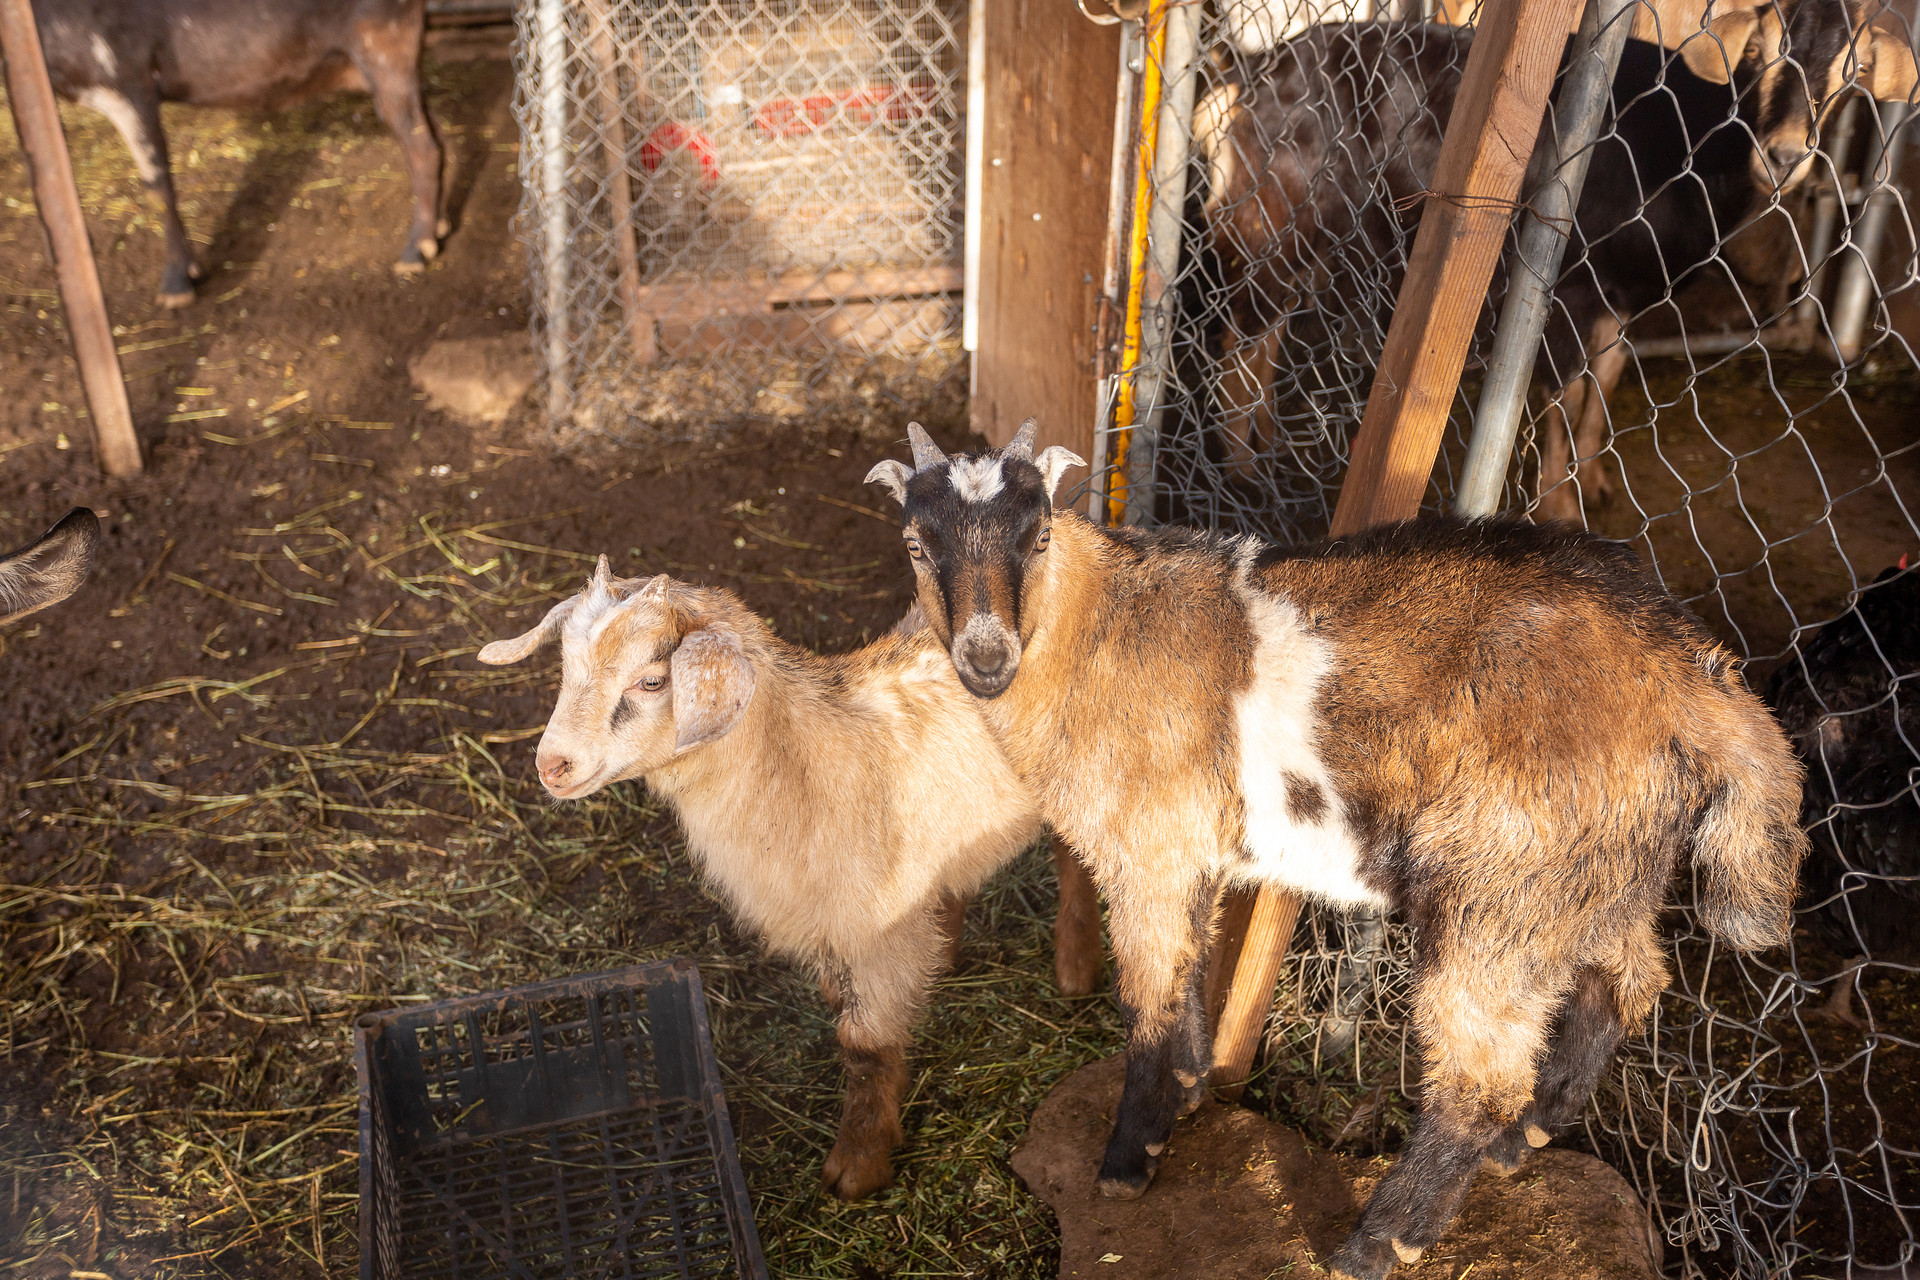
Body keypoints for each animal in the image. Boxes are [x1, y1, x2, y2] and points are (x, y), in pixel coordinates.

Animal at [32, 0, 445, 307]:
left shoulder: (126, 82)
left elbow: (157, 186)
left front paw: (176, 287)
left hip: (384, 47)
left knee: (422, 147)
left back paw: (414, 253)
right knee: (433, 135)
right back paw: (438, 228)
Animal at [478, 559, 1103, 1199]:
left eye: (652, 681)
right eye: (565, 666)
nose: (551, 765)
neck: (806, 763)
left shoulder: (876, 937)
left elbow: (864, 1045)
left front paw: (858, 1165)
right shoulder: (832, 925)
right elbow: (844, 1009)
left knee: (1076, 853)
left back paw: (1076, 969)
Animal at [866, 421, 1807, 1280]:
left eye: (1040, 536)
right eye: (914, 543)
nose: (986, 656)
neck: (1096, 628)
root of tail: (1701, 684)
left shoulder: (1148, 852)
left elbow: (1151, 998)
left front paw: (1132, 1159)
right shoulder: (1193, 852)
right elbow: (1193, 971)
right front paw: (1191, 1091)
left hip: (1503, 889)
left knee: (1479, 1075)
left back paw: (1380, 1242)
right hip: (1600, 872)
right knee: (1632, 979)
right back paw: (1527, 1136)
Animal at [1193, 0, 1918, 522]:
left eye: (1853, 71)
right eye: (1755, 56)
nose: (1786, 154)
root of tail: (1244, 82)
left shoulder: (1624, 297)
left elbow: (1607, 380)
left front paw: (1594, 482)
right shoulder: (1570, 289)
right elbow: (1564, 396)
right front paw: (1561, 509)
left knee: (1268, 330)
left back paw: (1262, 445)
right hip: (1275, 222)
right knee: (1240, 336)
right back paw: (1242, 472)